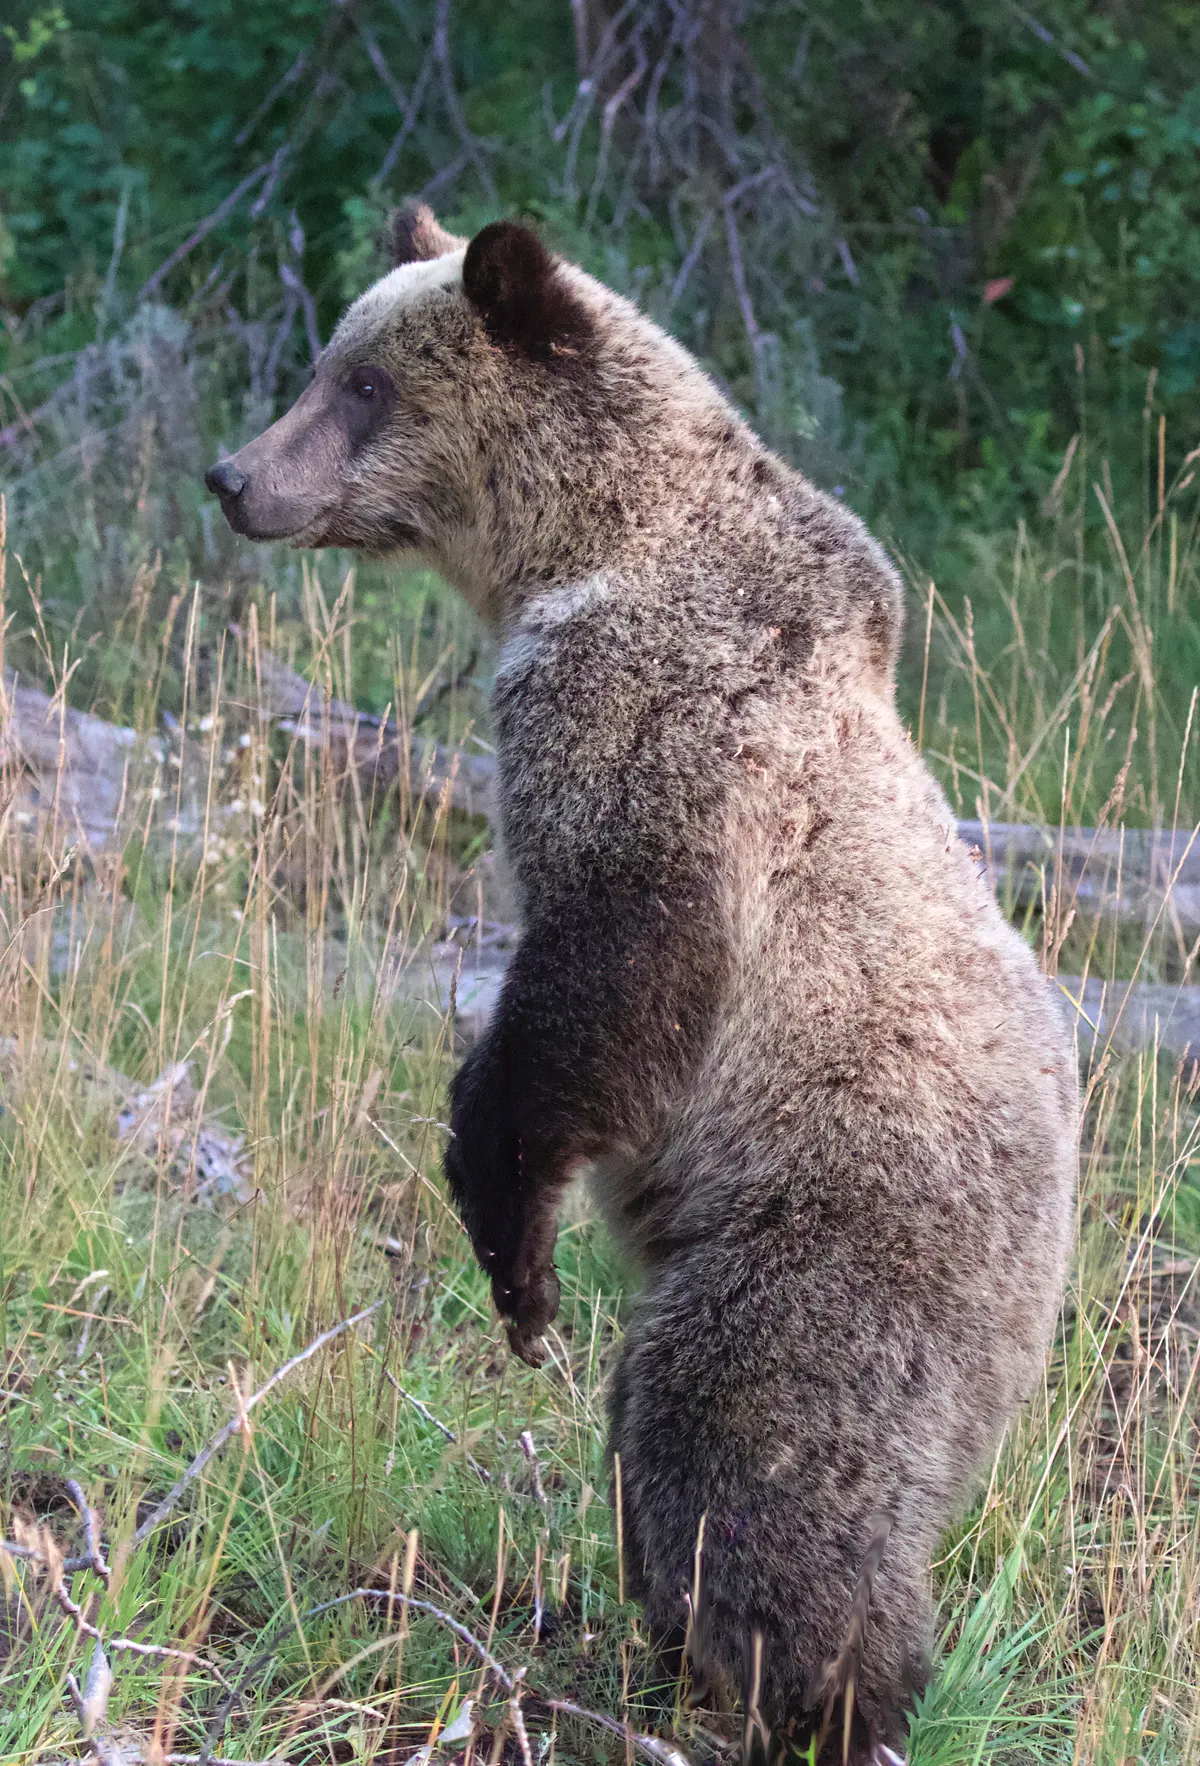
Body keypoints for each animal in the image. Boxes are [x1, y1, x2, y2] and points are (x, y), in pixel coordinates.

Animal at [207, 202, 1078, 1764]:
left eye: (361, 383)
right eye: (325, 363)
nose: (237, 476)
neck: (571, 550)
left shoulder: (654, 720)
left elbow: (606, 970)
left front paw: (516, 1259)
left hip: (842, 1229)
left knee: (742, 1448)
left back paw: (810, 1693)